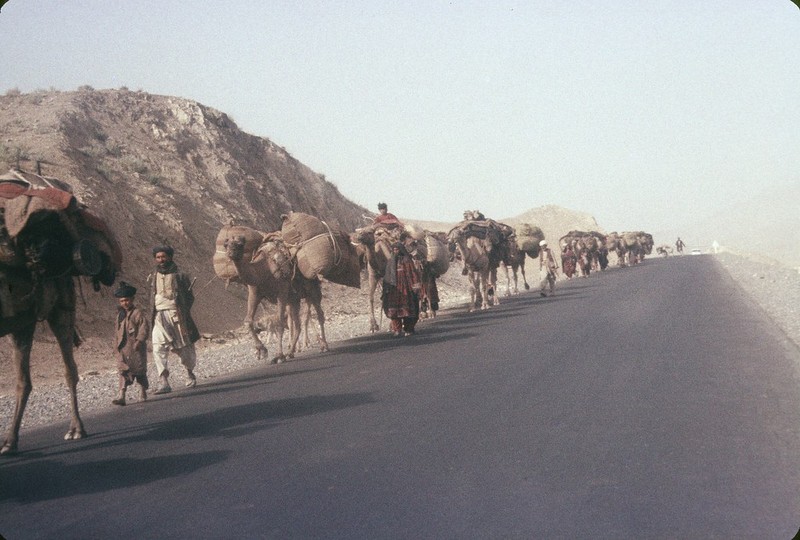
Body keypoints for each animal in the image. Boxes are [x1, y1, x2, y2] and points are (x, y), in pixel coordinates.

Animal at [222, 233, 328, 362]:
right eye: (226, 245)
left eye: (240, 244)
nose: (231, 254)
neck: (262, 270)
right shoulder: (254, 293)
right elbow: (248, 321)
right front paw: (262, 350)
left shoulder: (281, 292)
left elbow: (279, 322)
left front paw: (279, 355)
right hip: (294, 299)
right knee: (297, 323)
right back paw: (290, 352)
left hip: (312, 290)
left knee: (319, 314)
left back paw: (324, 346)